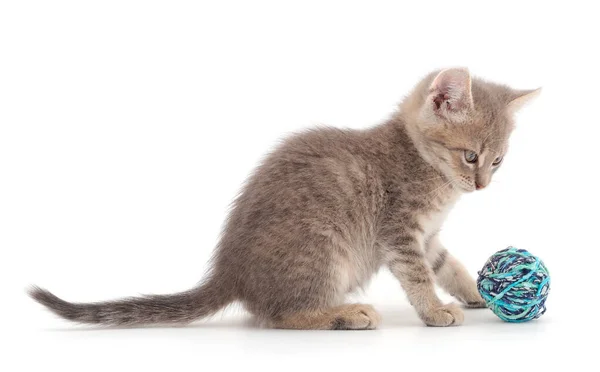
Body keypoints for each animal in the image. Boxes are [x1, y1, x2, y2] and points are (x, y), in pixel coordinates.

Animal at [30, 68, 540, 330]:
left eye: (498, 162)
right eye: (470, 156)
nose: (482, 186)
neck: (424, 165)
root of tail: (231, 272)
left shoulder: (428, 236)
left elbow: (448, 266)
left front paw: (475, 292)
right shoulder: (399, 231)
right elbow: (417, 276)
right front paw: (433, 310)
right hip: (322, 248)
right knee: (283, 315)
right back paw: (345, 314)